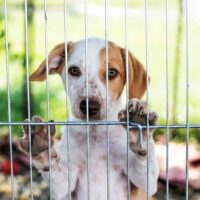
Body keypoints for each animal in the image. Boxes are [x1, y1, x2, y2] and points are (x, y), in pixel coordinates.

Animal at [19, 38, 159, 200]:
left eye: (112, 72)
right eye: (74, 70)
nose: (89, 107)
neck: (95, 130)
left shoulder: (144, 185)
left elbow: (145, 163)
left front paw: (139, 130)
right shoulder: (64, 185)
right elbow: (53, 167)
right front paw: (42, 145)